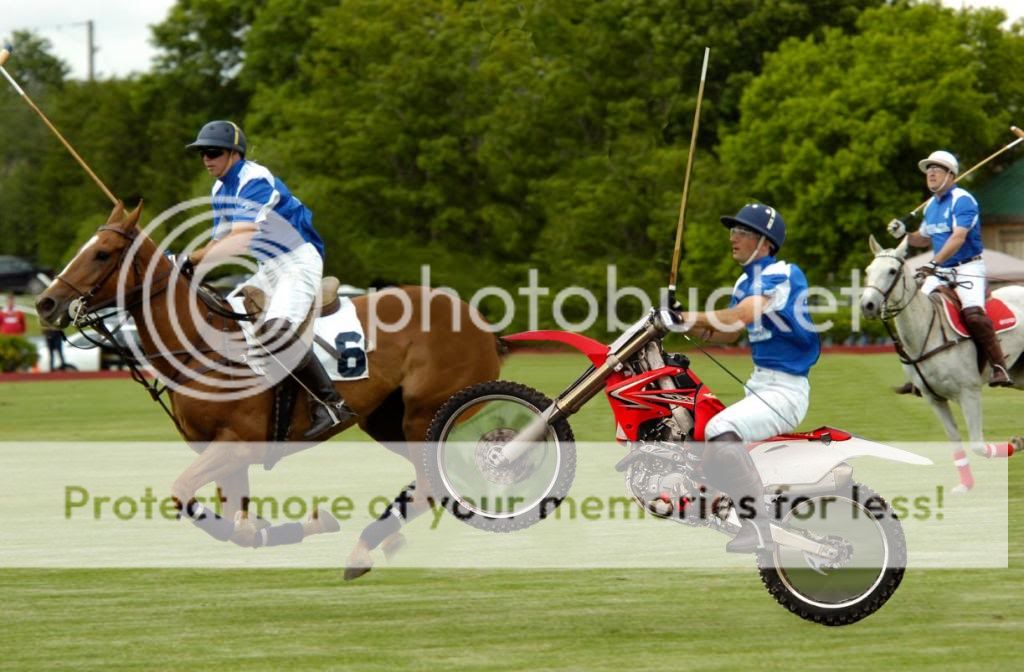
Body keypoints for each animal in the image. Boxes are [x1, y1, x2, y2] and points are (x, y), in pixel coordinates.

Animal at [35, 201, 502, 568]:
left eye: (102, 253)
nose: (46, 303)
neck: (202, 347)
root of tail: (479, 322)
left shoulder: (238, 444)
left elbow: (186, 495)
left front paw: (311, 522)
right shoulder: (224, 455)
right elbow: (234, 525)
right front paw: (294, 526)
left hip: (426, 414)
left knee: (433, 483)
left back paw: (367, 545)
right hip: (388, 419)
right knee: (432, 483)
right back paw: (383, 541)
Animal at [860, 235, 1024, 492]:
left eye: (892, 270)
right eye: (868, 270)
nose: (867, 305)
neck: (924, 335)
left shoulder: (969, 392)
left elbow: (977, 444)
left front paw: (1016, 443)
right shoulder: (933, 398)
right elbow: (955, 440)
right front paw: (965, 485)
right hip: (1019, 375)